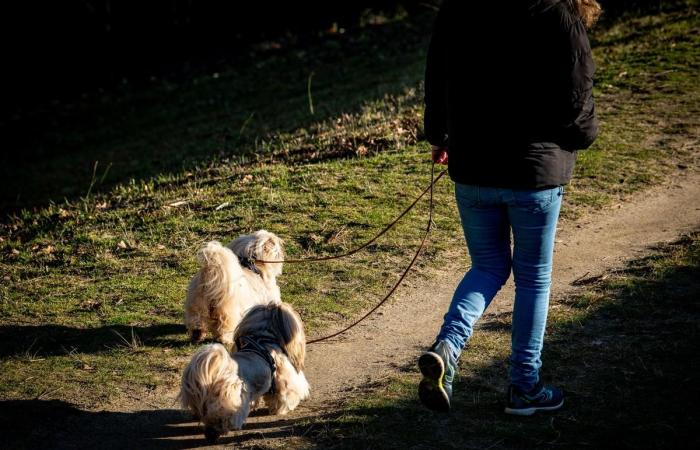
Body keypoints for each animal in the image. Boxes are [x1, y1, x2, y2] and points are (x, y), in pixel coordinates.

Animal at [179, 302, 310, 442]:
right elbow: (282, 397)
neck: (263, 340)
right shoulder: (284, 382)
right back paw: (216, 433)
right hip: (231, 403)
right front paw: (280, 410)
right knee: (222, 420)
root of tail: (216, 375)